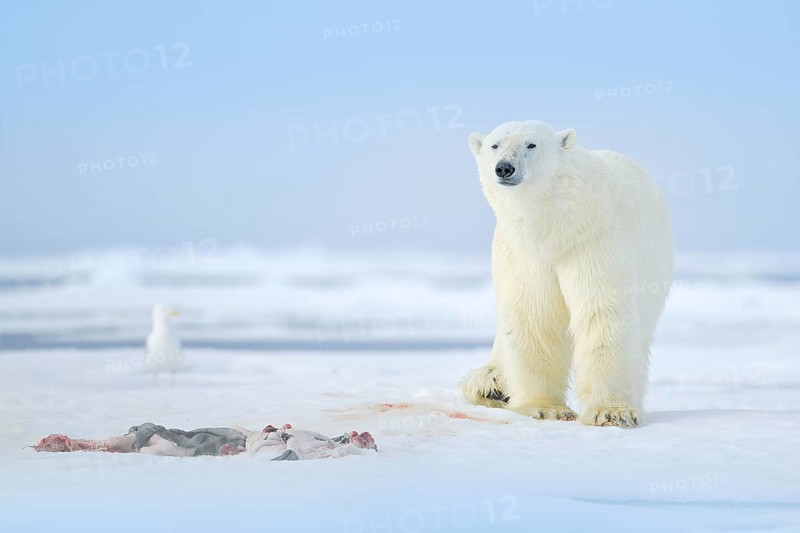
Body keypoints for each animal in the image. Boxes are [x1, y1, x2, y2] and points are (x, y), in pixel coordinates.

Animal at [461, 120, 673, 428]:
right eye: (494, 145)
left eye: (531, 144)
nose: (504, 168)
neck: (554, 227)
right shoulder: (524, 254)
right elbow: (533, 315)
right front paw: (546, 408)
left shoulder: (593, 241)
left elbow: (601, 311)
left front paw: (612, 412)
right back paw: (492, 385)